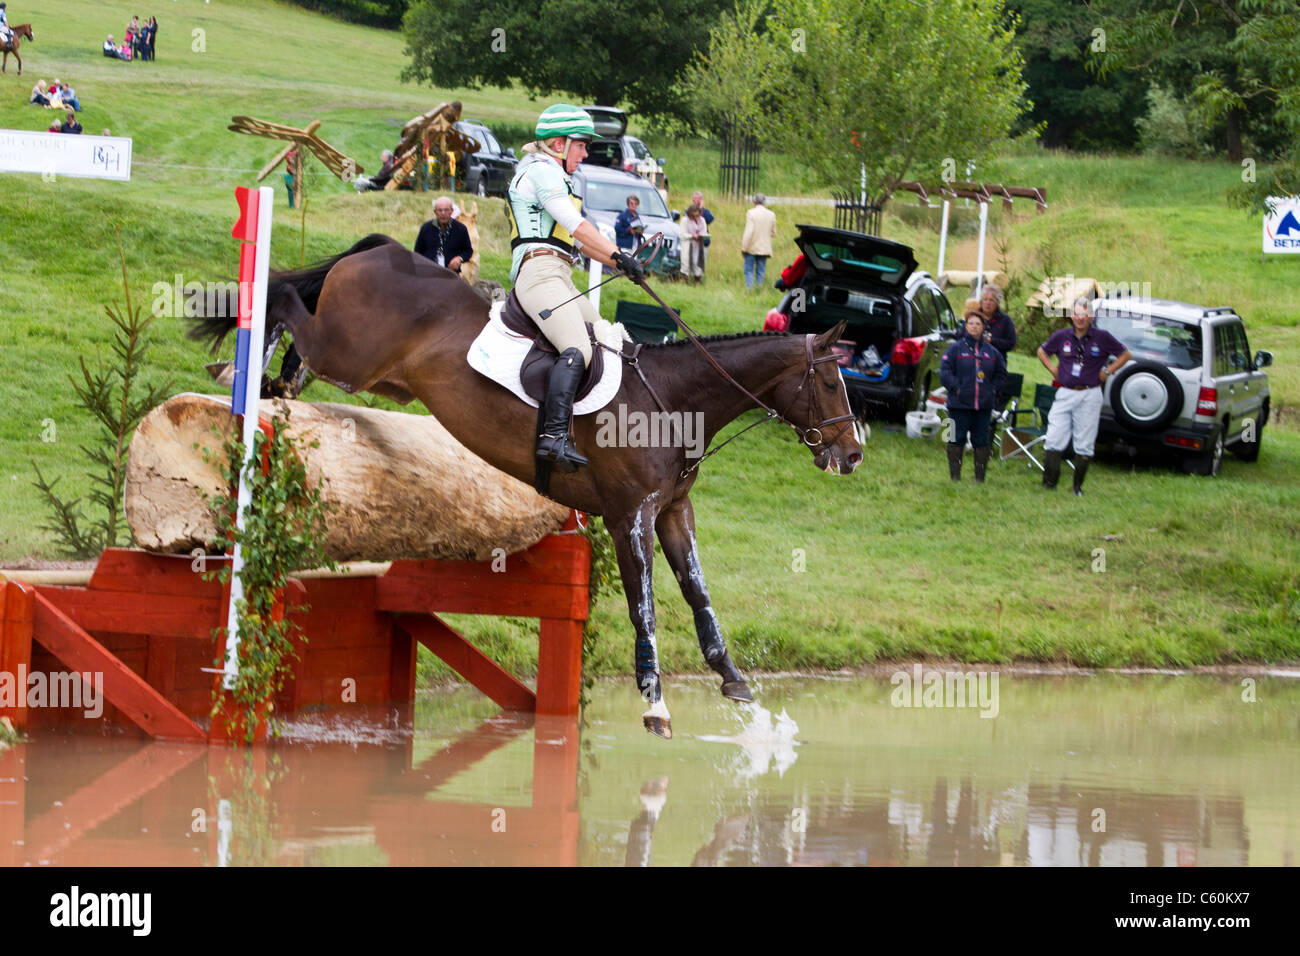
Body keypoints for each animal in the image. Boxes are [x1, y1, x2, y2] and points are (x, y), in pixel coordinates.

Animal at [189, 234, 863, 738]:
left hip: (379, 377)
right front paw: (655, 704)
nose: (853, 455)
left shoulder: (674, 510)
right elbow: (644, 605)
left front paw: (734, 680)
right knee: (284, 297)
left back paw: (275, 383)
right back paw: (247, 372)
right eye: (832, 384)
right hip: (349, 353)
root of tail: (382, 249)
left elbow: (698, 592)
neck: (671, 401)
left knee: (299, 331)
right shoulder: (630, 517)